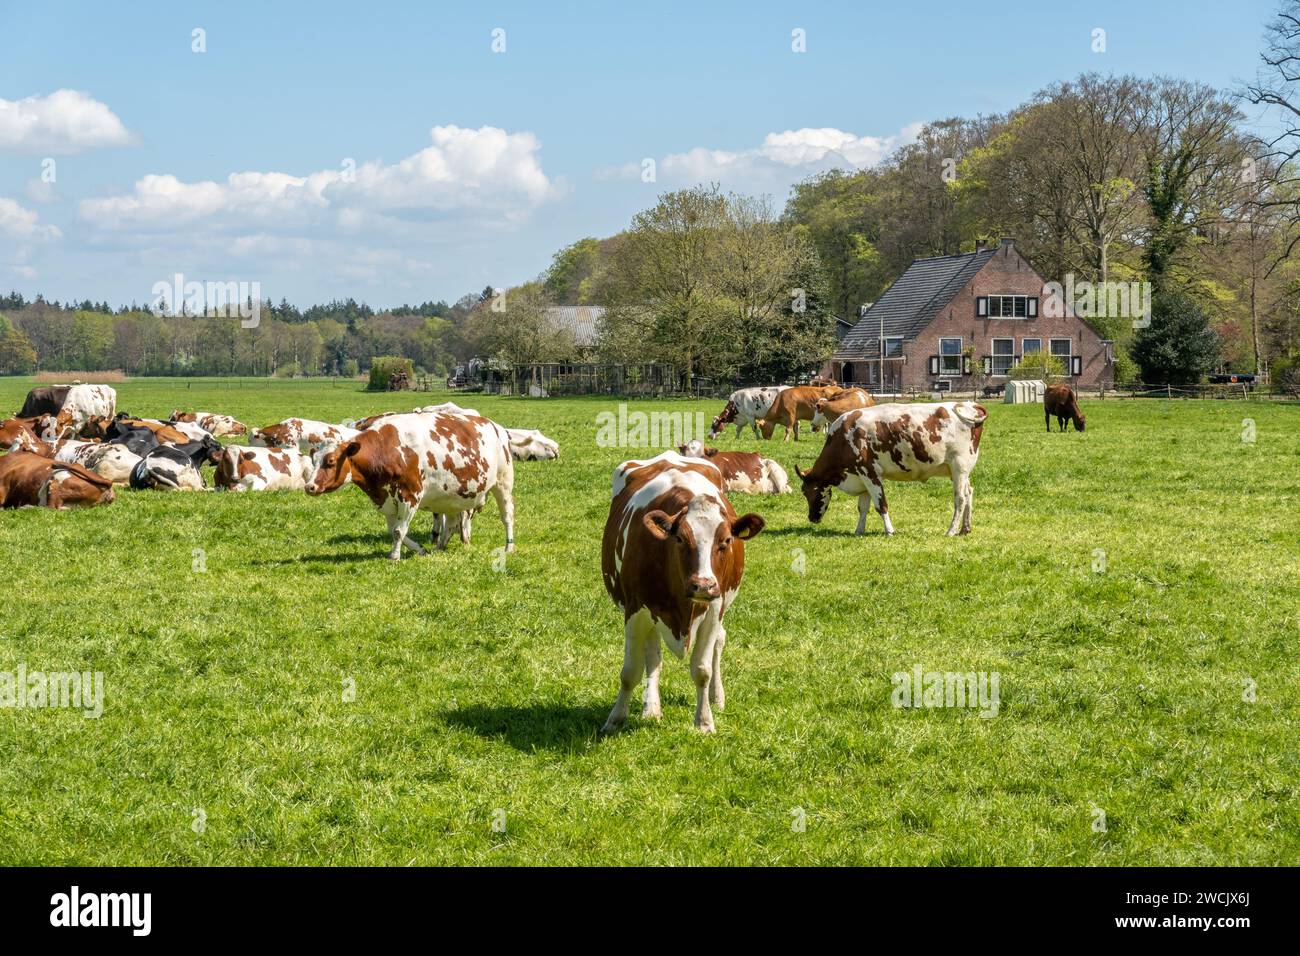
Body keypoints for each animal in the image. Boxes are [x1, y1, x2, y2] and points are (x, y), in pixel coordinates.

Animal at [305, 410, 515, 560]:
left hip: (503, 483)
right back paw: (440, 548)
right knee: (451, 523)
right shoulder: (386, 500)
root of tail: (494, 425)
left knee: (507, 516)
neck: (387, 449)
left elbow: (399, 531)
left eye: (330, 462)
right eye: (313, 460)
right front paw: (420, 549)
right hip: (452, 497)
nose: (309, 487)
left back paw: (509, 546)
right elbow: (394, 530)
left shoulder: (410, 496)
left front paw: (394, 556)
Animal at [600, 451, 764, 733]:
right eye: (680, 539)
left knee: (719, 641)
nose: (703, 584)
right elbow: (630, 671)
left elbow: (702, 670)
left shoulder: (713, 610)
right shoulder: (636, 610)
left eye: (726, 541)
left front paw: (704, 722)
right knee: (653, 656)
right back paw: (652, 708)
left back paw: (717, 697)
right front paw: (615, 718)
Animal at [794, 402, 988, 536]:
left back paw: (951, 530)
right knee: (969, 492)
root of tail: (969, 404)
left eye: (806, 491)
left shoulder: (870, 473)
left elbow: (881, 505)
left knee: (960, 498)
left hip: (959, 467)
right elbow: (862, 507)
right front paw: (859, 530)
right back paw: (965, 528)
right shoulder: (861, 476)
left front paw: (889, 530)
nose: (811, 518)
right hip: (960, 471)